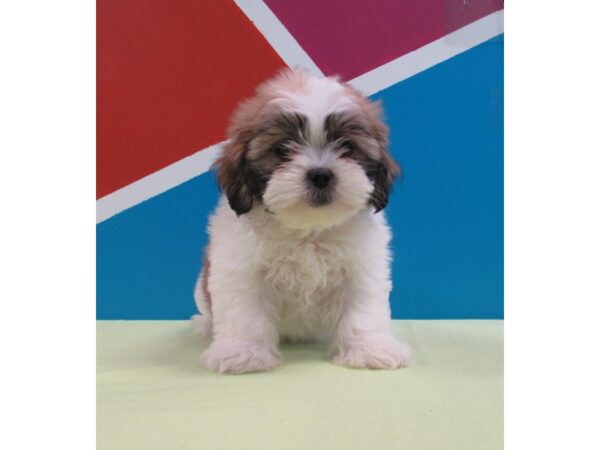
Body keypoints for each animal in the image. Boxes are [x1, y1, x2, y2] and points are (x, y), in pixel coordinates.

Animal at [192, 69, 412, 372]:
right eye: (283, 149)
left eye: (347, 146)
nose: (320, 174)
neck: (307, 229)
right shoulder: (240, 268)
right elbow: (245, 311)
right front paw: (242, 353)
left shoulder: (362, 266)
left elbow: (363, 309)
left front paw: (370, 349)